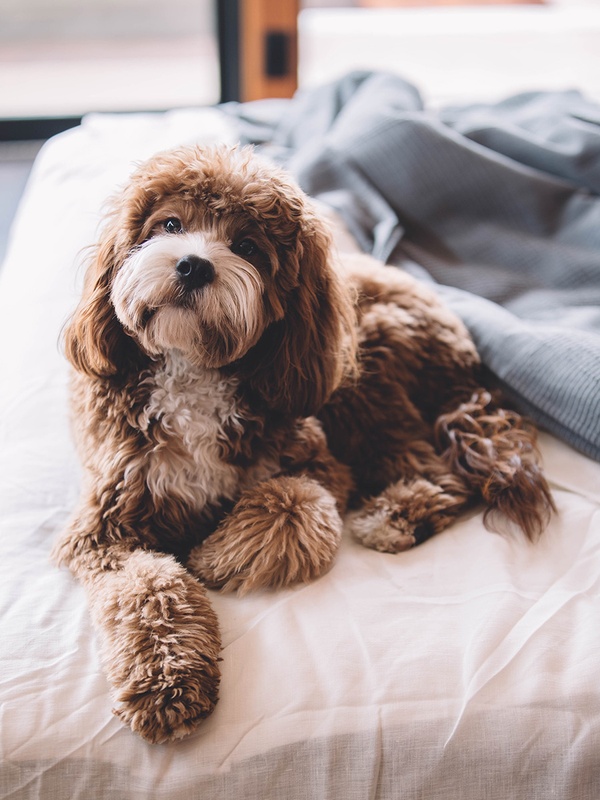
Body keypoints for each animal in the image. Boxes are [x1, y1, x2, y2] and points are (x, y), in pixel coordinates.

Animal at [54, 142, 556, 744]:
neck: (192, 369)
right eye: (170, 224)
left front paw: (214, 555)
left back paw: (394, 514)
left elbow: (293, 503)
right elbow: (148, 586)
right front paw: (168, 683)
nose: (193, 264)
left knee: (436, 470)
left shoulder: (317, 459)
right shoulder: (107, 526)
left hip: (363, 371)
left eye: (247, 246)